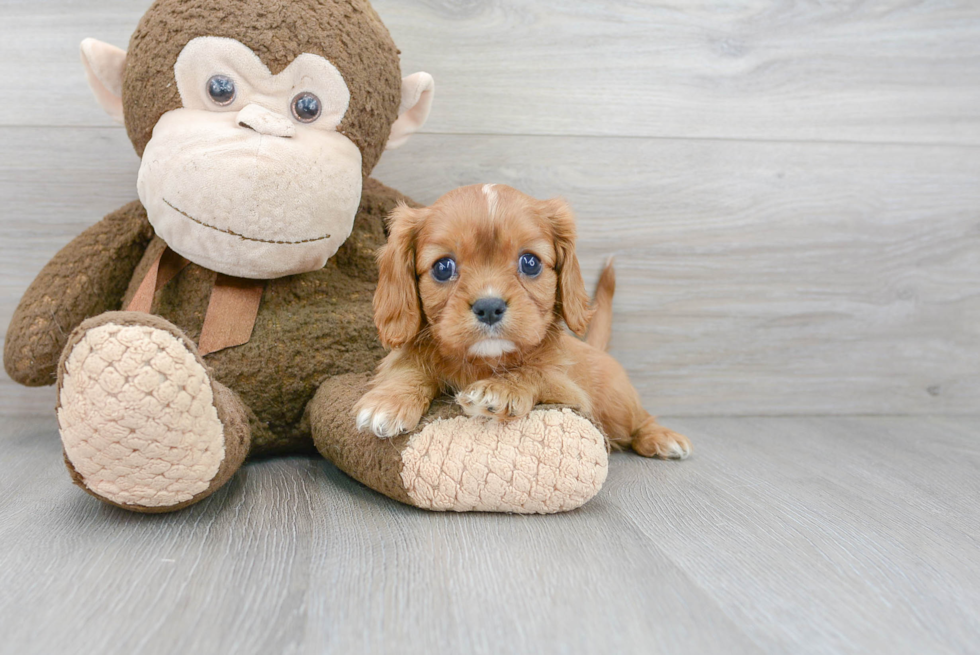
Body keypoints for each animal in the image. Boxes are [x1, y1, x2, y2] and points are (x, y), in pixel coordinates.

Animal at [352, 183, 688, 462]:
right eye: (443, 267)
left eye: (530, 262)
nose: (489, 307)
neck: (483, 363)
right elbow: (409, 368)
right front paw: (388, 400)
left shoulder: (570, 394)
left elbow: (536, 373)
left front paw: (500, 390)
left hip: (617, 406)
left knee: (639, 420)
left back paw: (662, 437)